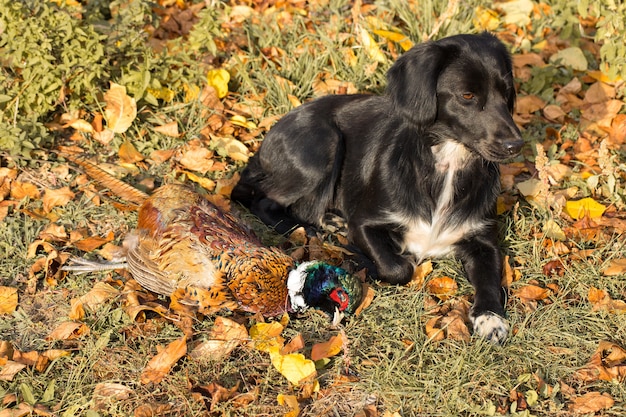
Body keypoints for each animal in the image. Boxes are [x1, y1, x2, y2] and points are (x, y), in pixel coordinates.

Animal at [232, 32, 520, 342]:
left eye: (507, 92)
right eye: (467, 95)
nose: (516, 145)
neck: (447, 165)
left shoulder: (484, 239)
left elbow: (490, 280)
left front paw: (491, 318)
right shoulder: (364, 222)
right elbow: (398, 268)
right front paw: (358, 259)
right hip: (323, 143)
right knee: (260, 200)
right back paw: (303, 229)